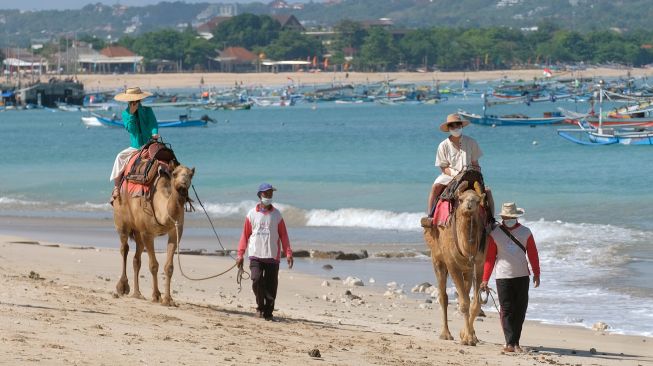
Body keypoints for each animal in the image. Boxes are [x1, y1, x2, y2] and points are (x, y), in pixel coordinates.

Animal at [113, 163, 194, 306]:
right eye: (175, 174)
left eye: (190, 175)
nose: (182, 185)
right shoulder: (147, 233)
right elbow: (153, 265)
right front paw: (156, 296)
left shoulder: (176, 231)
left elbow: (169, 267)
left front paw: (168, 299)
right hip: (122, 222)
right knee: (124, 249)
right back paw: (122, 287)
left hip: (138, 232)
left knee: (136, 259)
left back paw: (137, 293)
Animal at [420, 182, 486, 346]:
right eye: (460, 200)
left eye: (477, 201)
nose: (469, 205)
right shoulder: (452, 264)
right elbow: (464, 303)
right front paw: (467, 339)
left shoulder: (479, 264)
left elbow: (475, 303)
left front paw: (468, 336)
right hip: (437, 259)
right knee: (443, 296)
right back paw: (445, 334)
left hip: (466, 269)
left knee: (465, 292)